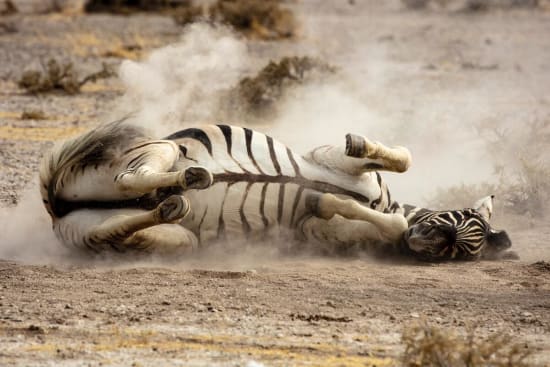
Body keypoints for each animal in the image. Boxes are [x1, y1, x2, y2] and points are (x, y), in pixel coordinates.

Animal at [40, 118, 516, 262]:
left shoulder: (313, 229)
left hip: (139, 235)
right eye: (459, 218)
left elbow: (335, 207)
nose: (424, 240)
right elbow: (401, 159)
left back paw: (176, 199)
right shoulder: (328, 159)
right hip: (160, 149)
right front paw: (361, 143)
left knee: (142, 215)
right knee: (132, 176)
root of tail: (55, 205)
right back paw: (191, 179)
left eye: (454, 252)